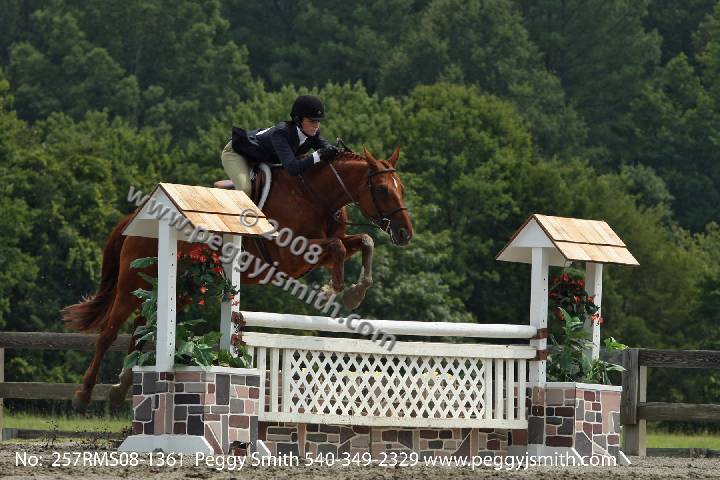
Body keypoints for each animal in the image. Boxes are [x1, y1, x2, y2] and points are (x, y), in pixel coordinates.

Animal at [61, 147, 413, 412]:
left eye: (402, 188)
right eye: (382, 189)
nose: (404, 233)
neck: (315, 196)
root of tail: (133, 220)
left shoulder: (322, 248)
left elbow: (363, 241)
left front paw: (354, 291)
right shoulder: (292, 255)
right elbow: (340, 248)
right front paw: (335, 288)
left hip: (179, 289)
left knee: (143, 326)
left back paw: (121, 387)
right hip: (134, 282)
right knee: (109, 331)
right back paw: (84, 395)